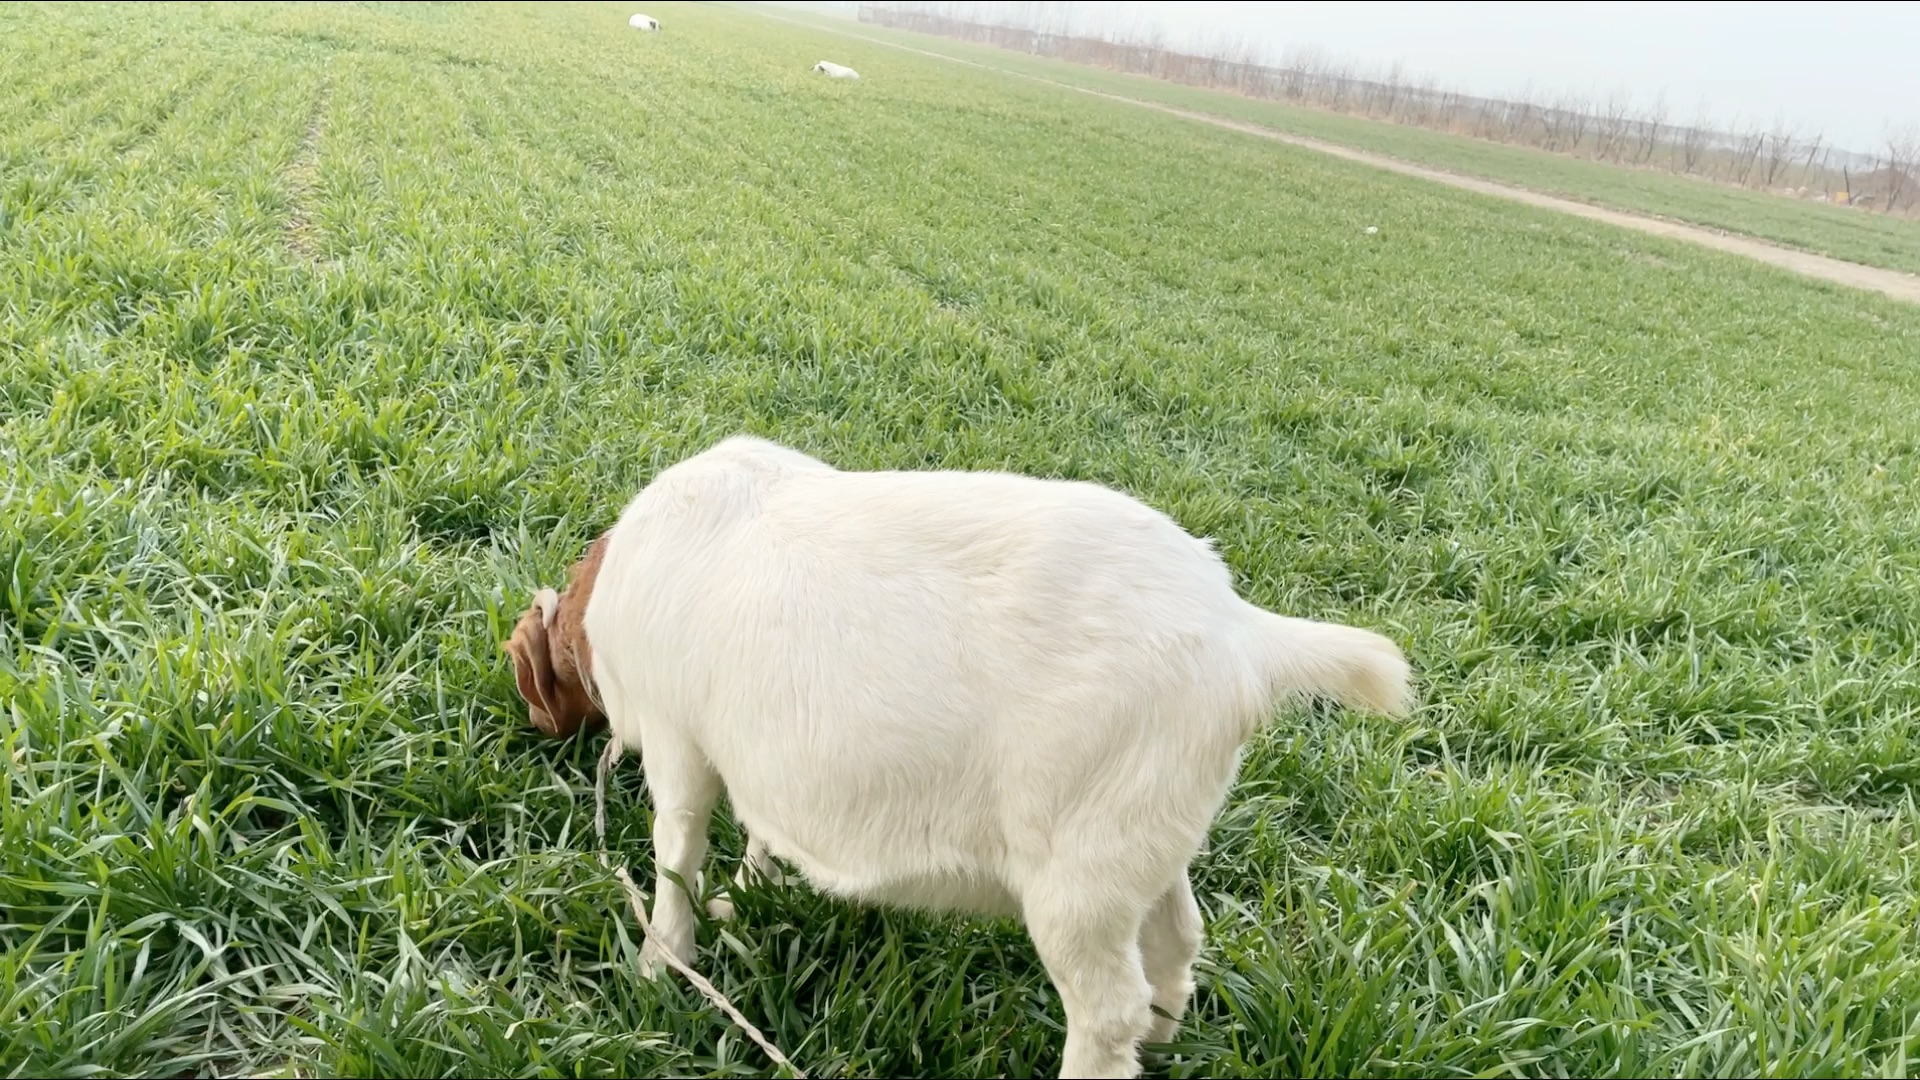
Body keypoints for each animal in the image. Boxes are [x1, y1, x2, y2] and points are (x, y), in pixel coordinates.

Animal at [506, 434, 1413, 1076]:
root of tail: (1246, 638)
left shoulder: (677, 739)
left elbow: (677, 850)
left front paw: (661, 962)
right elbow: (759, 825)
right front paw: (747, 893)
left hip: (1077, 872)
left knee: (1106, 1009)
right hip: (1143, 833)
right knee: (1175, 942)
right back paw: (1160, 1046)